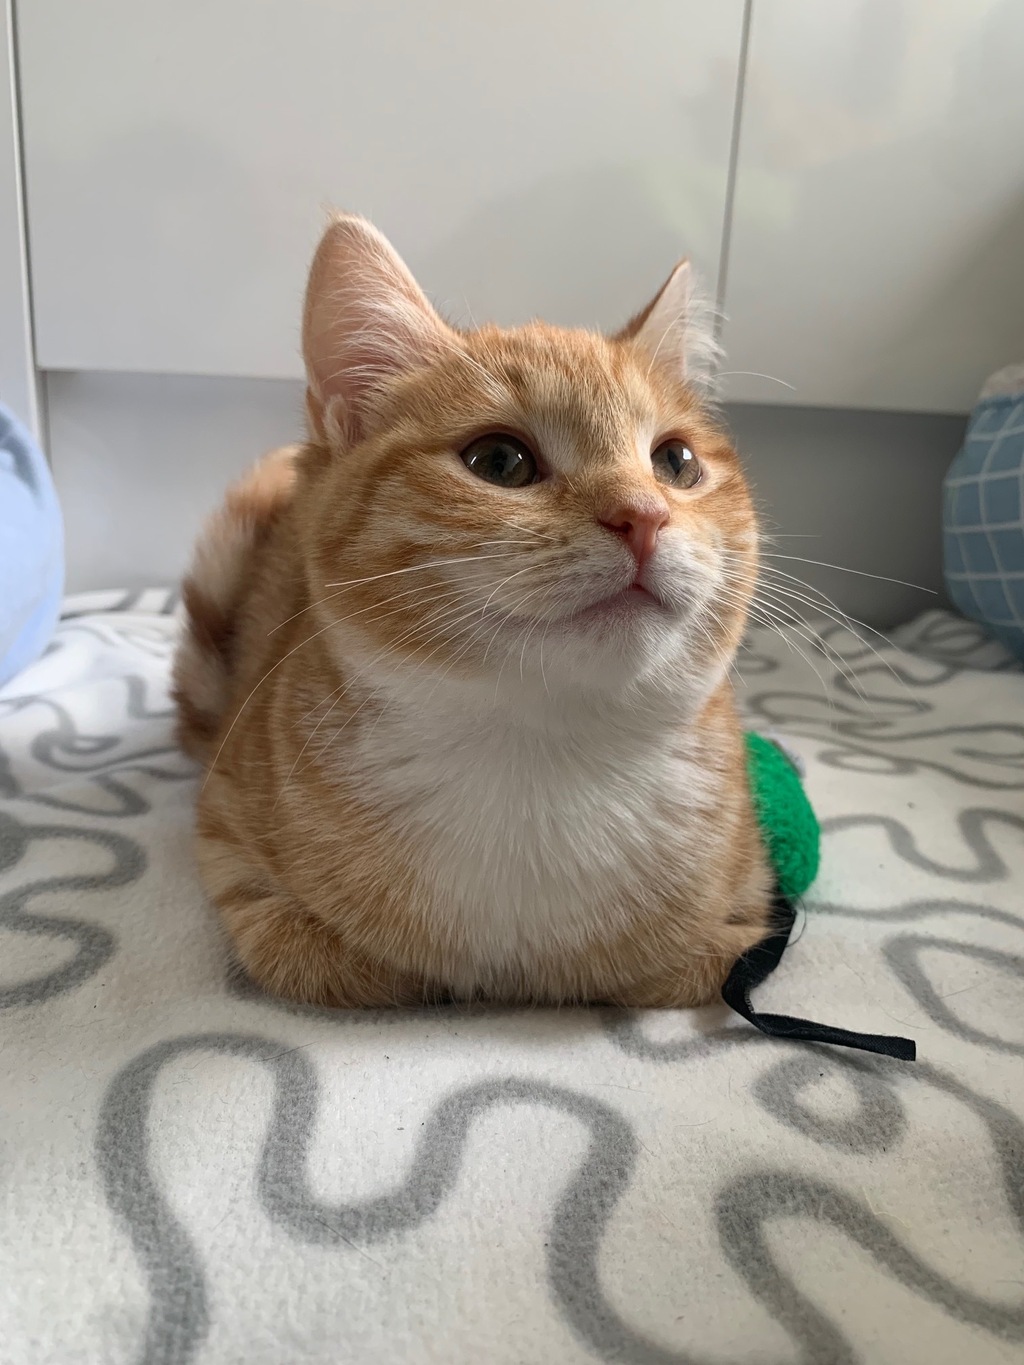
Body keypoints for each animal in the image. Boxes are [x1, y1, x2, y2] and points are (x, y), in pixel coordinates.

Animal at [172, 214, 772, 1008]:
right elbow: (330, 961)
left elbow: (673, 975)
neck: (539, 759)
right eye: (499, 461)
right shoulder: (229, 844)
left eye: (676, 462)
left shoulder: (743, 917)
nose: (643, 516)